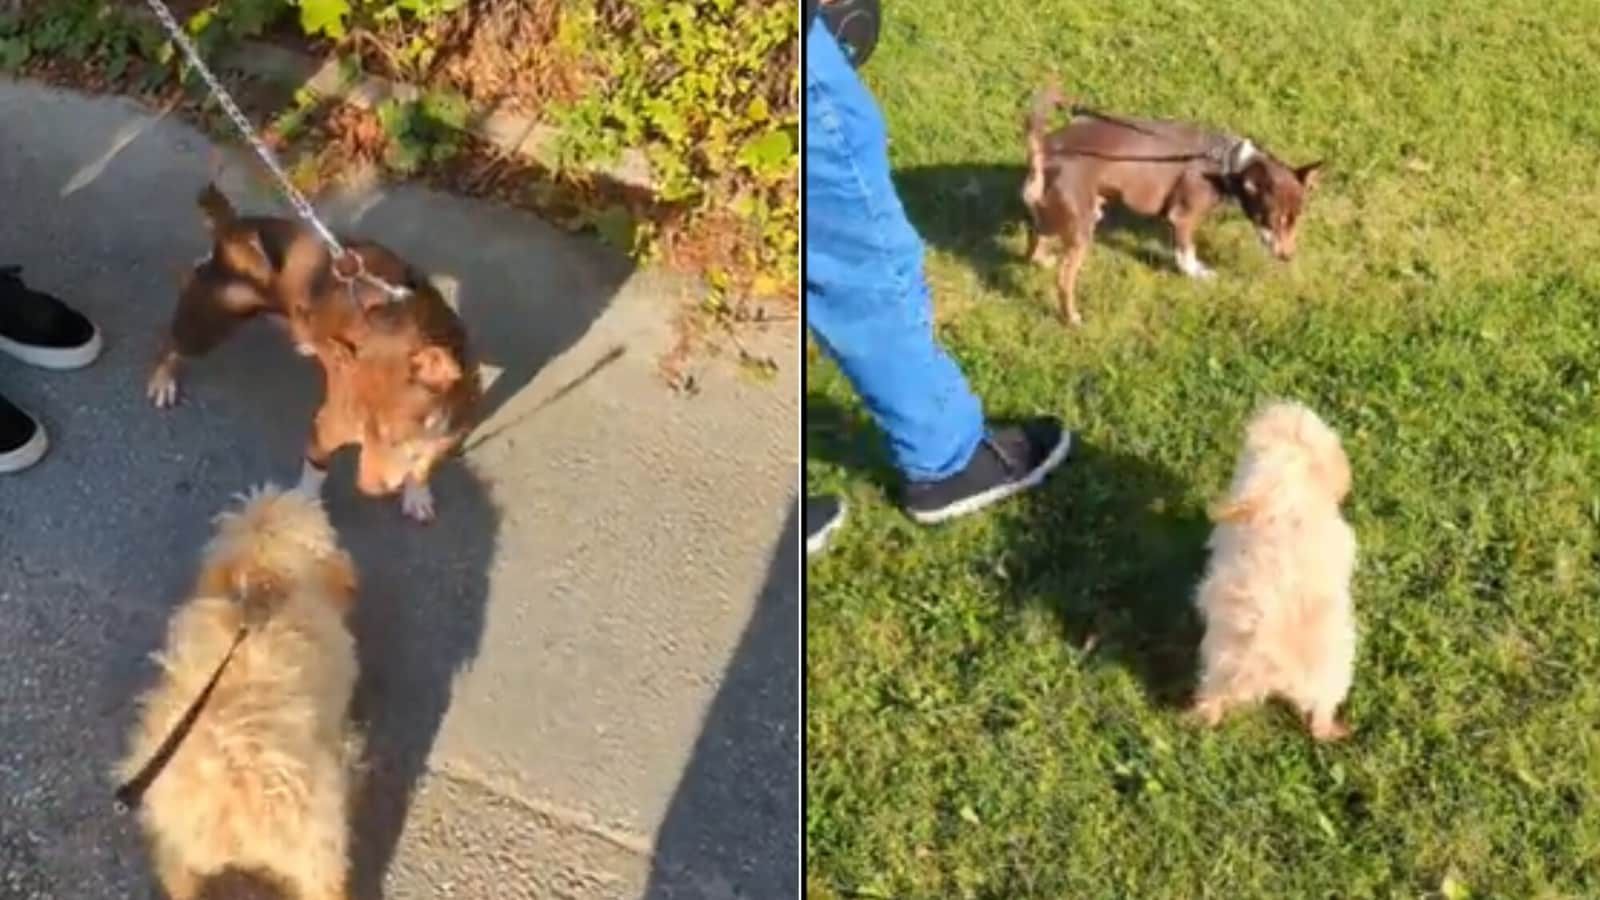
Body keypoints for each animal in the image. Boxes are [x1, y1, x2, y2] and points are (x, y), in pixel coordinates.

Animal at [150, 184, 480, 518]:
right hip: (209, 322)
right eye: (361, 430)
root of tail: (232, 226)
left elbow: (422, 467)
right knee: (170, 342)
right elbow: (315, 470)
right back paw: (162, 381)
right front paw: (302, 506)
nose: (367, 488)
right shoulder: (328, 427)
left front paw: (417, 492)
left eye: (396, 436)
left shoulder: (446, 437)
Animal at [1024, 82, 1324, 323]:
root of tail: (1043, 153)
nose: (1287, 257)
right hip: (1081, 230)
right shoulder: (1183, 217)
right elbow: (1186, 253)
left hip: (1052, 216)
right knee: (1064, 280)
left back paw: (1043, 261)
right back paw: (1071, 317)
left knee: (1034, 245)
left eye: (1296, 220)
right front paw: (1198, 274)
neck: (1228, 164)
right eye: (1272, 220)